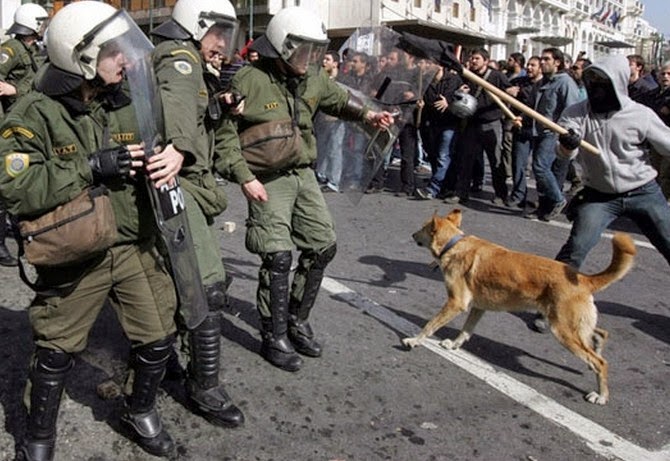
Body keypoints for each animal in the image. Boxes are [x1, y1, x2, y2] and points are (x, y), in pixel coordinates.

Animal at [406, 210, 636, 404]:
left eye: (422, 227)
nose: (412, 234)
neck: (454, 245)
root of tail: (583, 278)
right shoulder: (478, 307)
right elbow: (466, 331)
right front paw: (454, 344)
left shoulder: (456, 303)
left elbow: (430, 325)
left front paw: (415, 340)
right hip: (573, 325)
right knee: (600, 335)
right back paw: (596, 351)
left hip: (562, 330)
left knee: (601, 362)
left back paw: (601, 395)